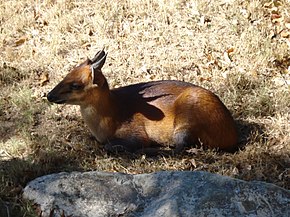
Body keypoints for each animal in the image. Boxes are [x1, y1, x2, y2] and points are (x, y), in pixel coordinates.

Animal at [47, 49, 238, 154]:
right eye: (68, 73)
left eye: (76, 85)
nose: (49, 95)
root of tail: (231, 136)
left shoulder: (136, 134)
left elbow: (112, 146)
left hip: (186, 120)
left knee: (180, 148)